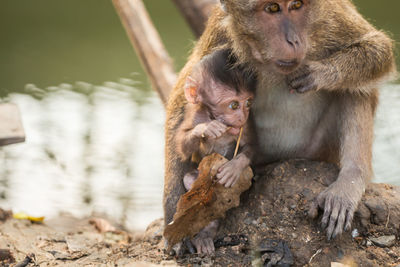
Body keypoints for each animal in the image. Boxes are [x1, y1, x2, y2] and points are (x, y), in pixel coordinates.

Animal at [177, 49, 258, 256]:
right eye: (234, 105)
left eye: (248, 102)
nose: (242, 116)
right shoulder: (195, 115)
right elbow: (181, 145)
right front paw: (207, 128)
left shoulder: (245, 126)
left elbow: (252, 145)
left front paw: (234, 168)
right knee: (191, 181)